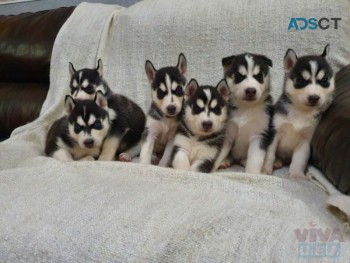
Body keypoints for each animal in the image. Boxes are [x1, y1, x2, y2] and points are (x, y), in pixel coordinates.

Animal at [262, 45, 334, 179]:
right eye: (300, 80)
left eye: (324, 80)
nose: (314, 98)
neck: (301, 111)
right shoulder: (274, 132)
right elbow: (270, 154)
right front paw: (265, 169)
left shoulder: (305, 141)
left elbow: (299, 159)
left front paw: (296, 175)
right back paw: (277, 162)